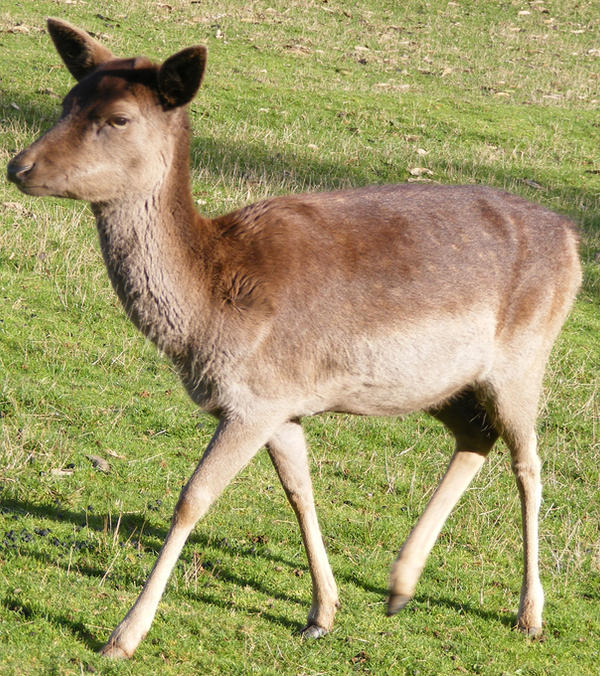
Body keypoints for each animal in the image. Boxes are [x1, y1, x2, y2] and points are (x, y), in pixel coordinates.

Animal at [5, 18, 580, 656]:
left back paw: (530, 613)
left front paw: (123, 635)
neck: (211, 308)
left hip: (524, 355)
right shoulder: (283, 404)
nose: (19, 166)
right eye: (67, 102)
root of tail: (573, 239)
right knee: (476, 437)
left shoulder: (256, 399)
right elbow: (299, 491)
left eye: (120, 118)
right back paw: (400, 585)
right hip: (443, 382)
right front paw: (322, 612)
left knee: (529, 463)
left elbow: (192, 500)